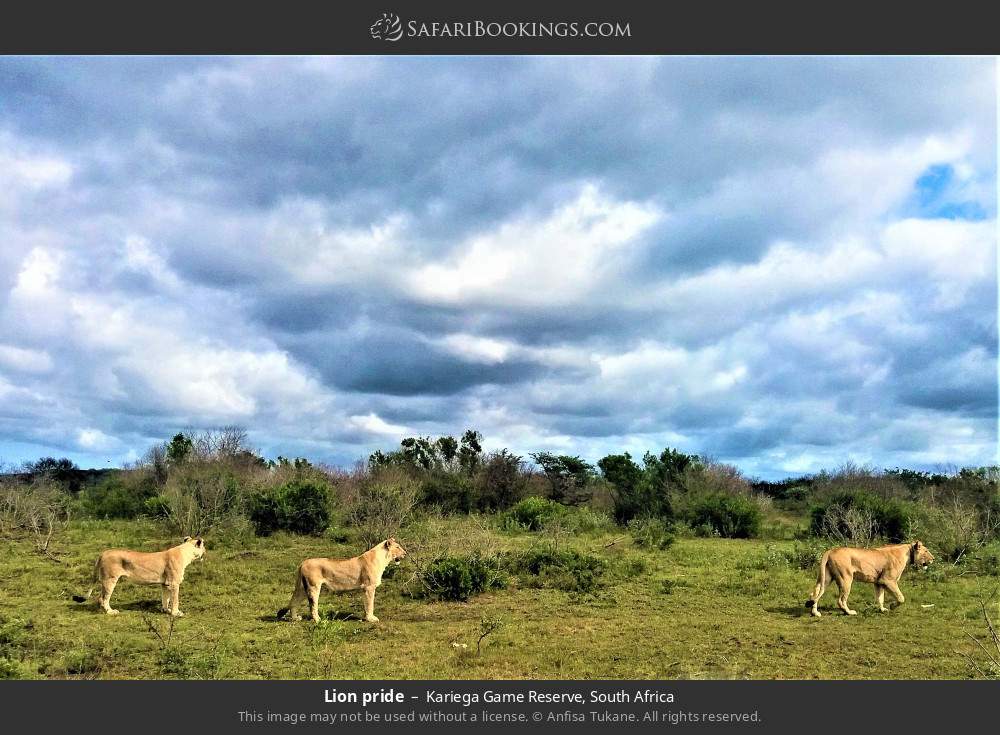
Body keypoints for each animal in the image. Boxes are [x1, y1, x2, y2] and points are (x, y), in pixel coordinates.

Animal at [72, 536, 206, 616]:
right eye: (204, 547)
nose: (205, 552)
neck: (187, 553)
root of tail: (103, 552)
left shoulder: (165, 583)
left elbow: (166, 598)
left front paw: (165, 610)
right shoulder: (174, 583)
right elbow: (175, 600)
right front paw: (176, 613)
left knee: (100, 597)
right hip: (110, 579)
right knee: (103, 598)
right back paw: (111, 612)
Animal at [276, 538, 407, 623]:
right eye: (397, 547)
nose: (405, 553)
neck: (383, 559)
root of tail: (303, 563)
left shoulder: (364, 588)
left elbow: (366, 604)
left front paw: (366, 617)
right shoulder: (369, 587)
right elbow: (370, 604)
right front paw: (371, 619)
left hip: (302, 588)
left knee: (294, 602)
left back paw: (295, 618)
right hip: (313, 586)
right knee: (312, 605)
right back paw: (318, 620)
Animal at [805, 540, 934, 617]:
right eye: (926, 551)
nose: (934, 558)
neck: (908, 553)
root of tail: (830, 550)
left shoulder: (879, 582)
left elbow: (880, 598)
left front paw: (882, 610)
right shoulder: (888, 580)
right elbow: (901, 598)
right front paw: (892, 606)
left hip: (826, 578)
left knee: (815, 593)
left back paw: (815, 612)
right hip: (846, 578)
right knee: (840, 600)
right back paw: (849, 612)